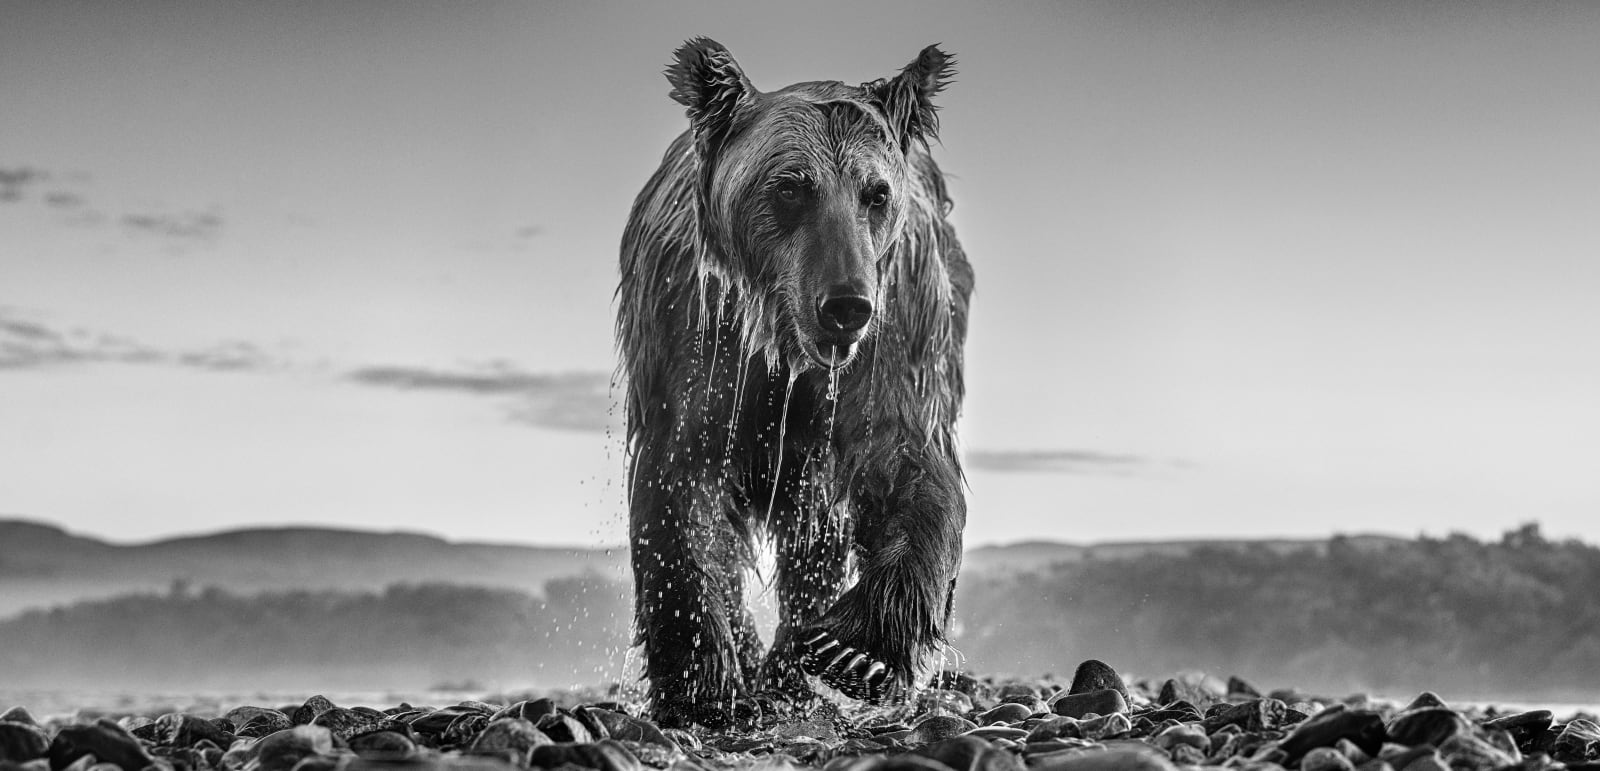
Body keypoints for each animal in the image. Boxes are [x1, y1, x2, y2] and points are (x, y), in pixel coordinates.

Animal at [616, 37, 973, 728]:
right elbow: (681, 492)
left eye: (875, 193)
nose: (845, 304)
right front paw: (704, 683)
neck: (786, 345)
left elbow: (908, 465)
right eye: (790, 189)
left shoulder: (895, 336)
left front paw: (855, 651)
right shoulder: (696, 336)